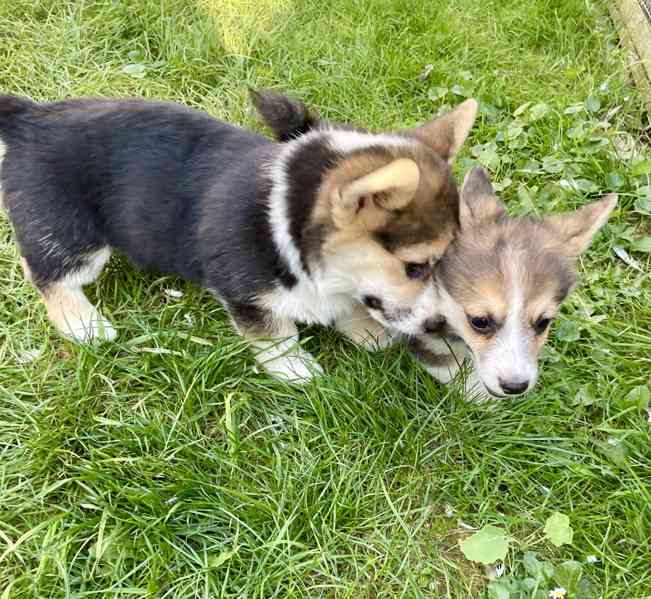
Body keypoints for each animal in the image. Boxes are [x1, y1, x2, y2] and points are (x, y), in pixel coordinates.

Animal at [0, 91, 478, 382]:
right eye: (414, 267)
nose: (441, 325)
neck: (286, 223)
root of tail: (30, 118)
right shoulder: (246, 295)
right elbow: (276, 335)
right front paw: (295, 370)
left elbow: (349, 307)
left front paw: (369, 333)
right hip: (76, 238)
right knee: (45, 272)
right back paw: (83, 324)